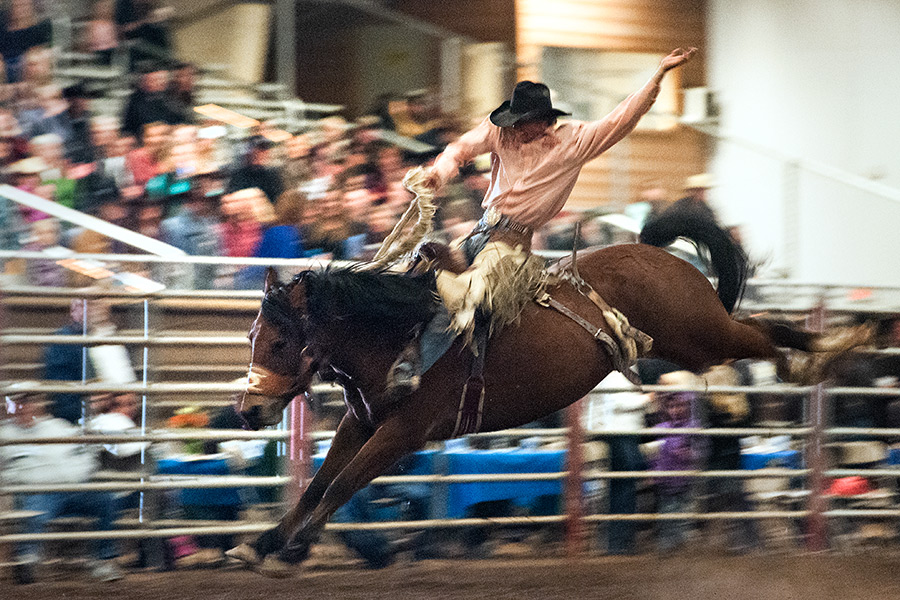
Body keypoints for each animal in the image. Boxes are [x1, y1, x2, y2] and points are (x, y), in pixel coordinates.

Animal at [228, 210, 833, 574]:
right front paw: (260, 544)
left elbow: (341, 484)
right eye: (252, 337)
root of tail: (656, 253)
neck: (398, 332)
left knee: (761, 333)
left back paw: (828, 347)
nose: (250, 411)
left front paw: (293, 549)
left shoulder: (404, 432)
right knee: (756, 330)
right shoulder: (363, 421)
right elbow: (317, 484)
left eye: (279, 341)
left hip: (699, 336)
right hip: (690, 342)